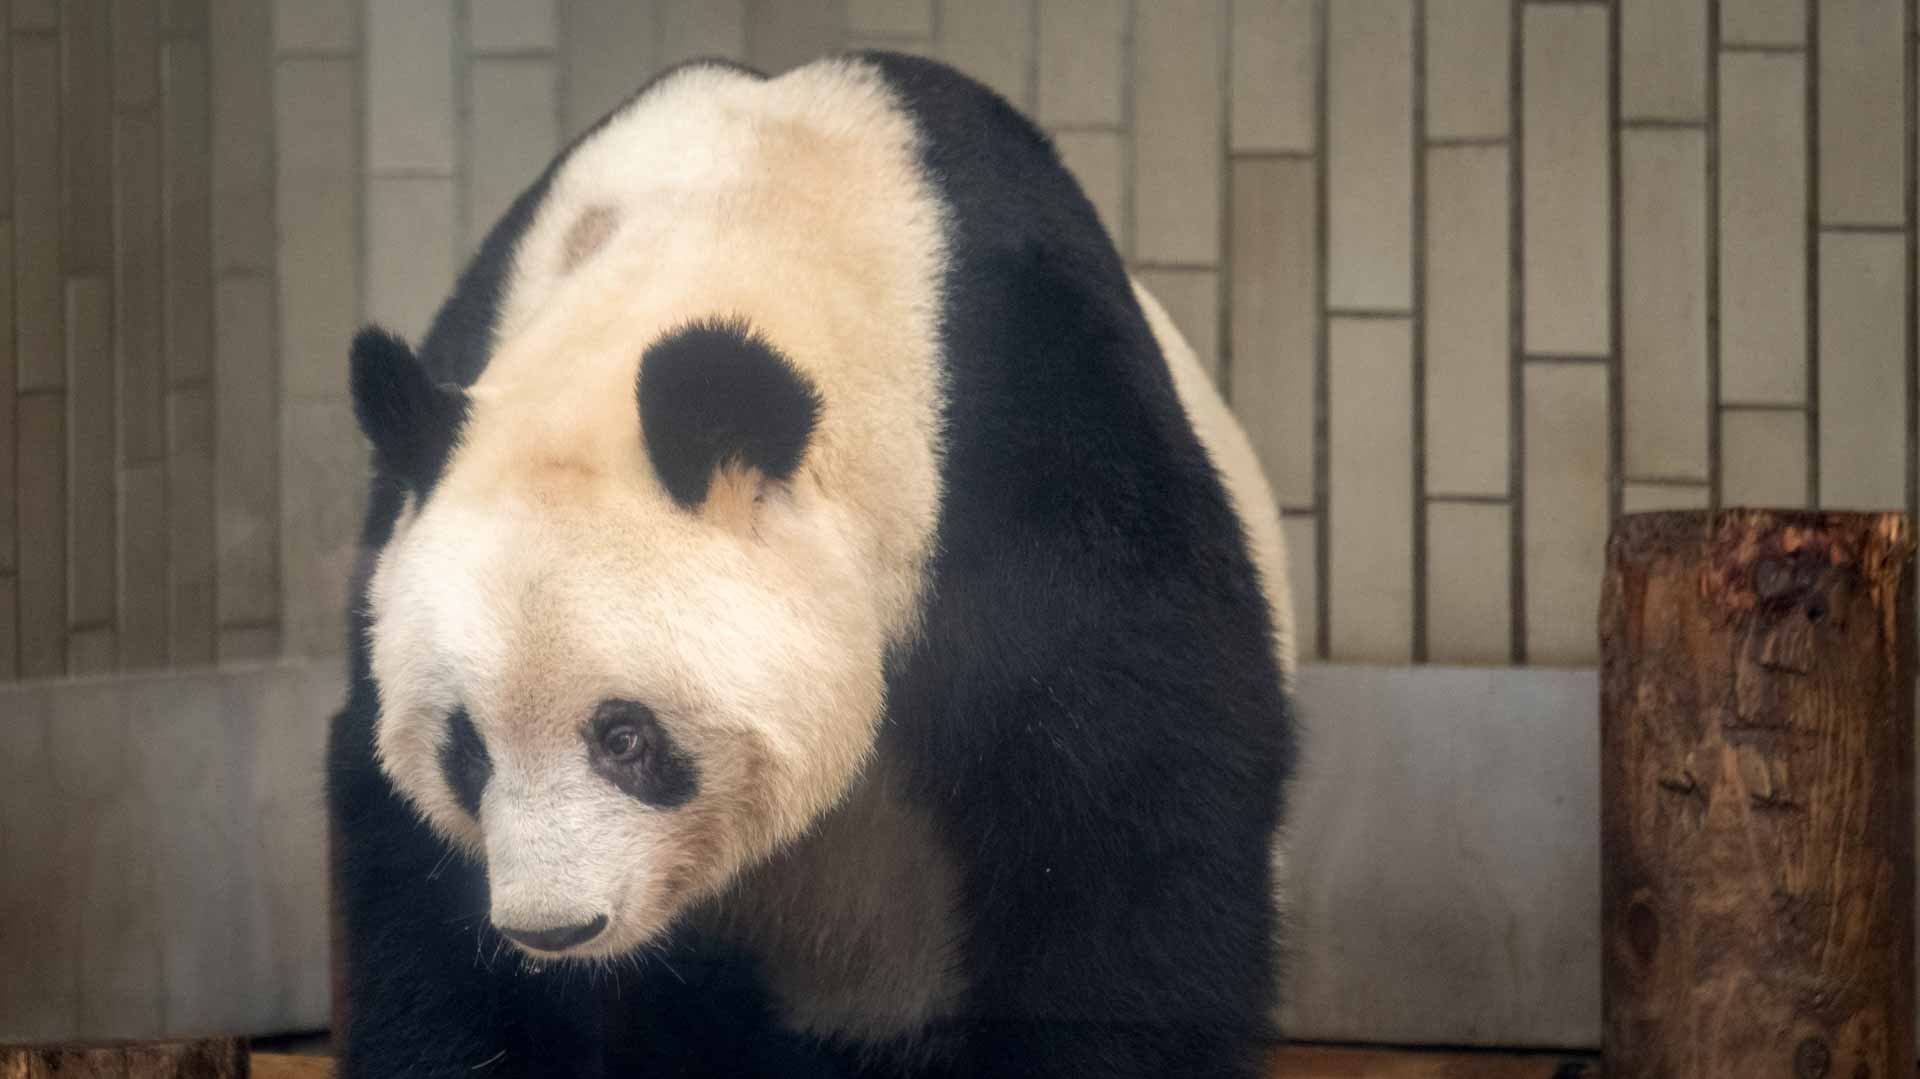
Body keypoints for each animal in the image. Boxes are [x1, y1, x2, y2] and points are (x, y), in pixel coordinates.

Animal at [329, 51, 1298, 1079]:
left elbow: (1129, 791)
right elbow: (408, 867)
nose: (554, 927)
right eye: (464, 747)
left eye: (625, 736)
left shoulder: (1037, 436)